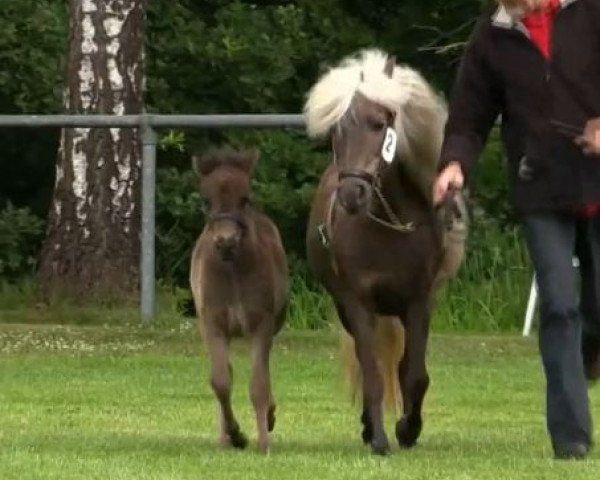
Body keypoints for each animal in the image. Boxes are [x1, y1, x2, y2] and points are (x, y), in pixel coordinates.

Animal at [304, 48, 464, 454]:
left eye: (380, 124)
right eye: (336, 131)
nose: (351, 194)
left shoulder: (418, 303)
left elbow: (415, 373)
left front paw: (408, 429)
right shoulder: (358, 303)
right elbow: (373, 371)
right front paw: (378, 437)